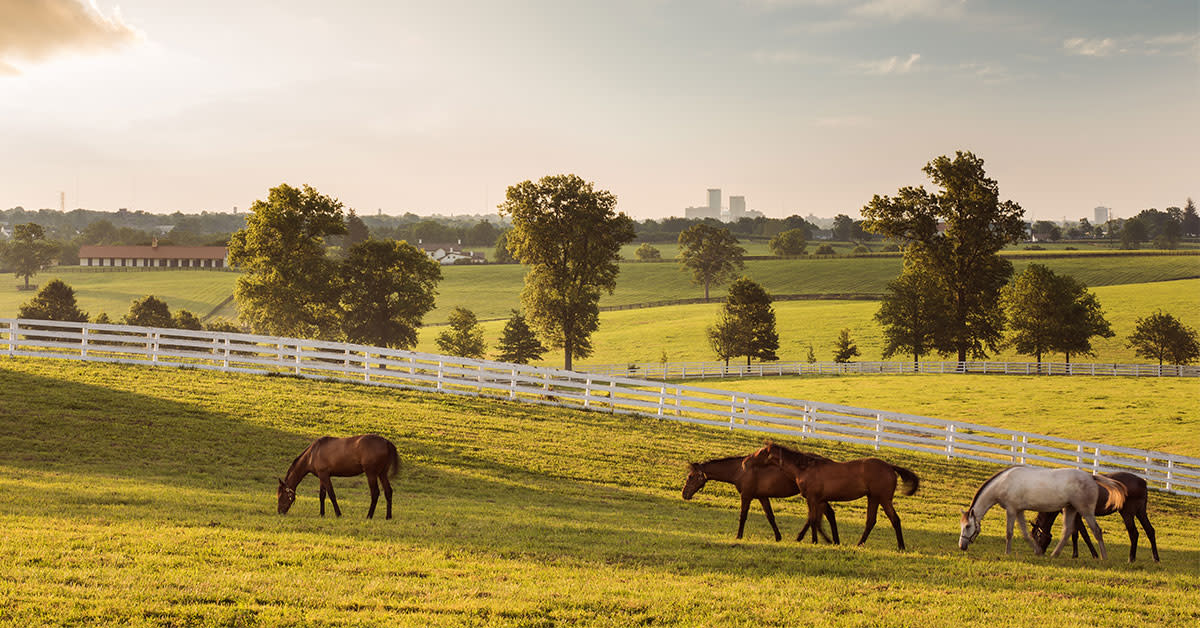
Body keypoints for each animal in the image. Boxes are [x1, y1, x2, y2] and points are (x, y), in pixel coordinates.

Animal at [682, 449, 841, 543]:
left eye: (691, 477)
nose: (684, 494)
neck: (740, 469)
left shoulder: (746, 496)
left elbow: (743, 516)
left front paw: (738, 536)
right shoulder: (762, 497)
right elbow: (770, 517)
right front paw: (778, 537)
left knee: (822, 515)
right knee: (824, 515)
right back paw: (827, 539)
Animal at [750, 442, 919, 549]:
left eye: (761, 452)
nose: (748, 460)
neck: (805, 468)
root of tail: (890, 466)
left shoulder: (812, 499)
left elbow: (813, 520)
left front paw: (813, 541)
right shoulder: (819, 500)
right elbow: (815, 520)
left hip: (883, 498)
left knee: (894, 519)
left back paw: (901, 546)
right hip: (874, 498)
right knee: (871, 521)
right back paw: (860, 544)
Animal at [958, 466, 1125, 559]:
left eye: (968, 526)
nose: (961, 546)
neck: (1004, 482)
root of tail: (1091, 476)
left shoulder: (1011, 510)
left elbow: (1009, 533)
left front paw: (1007, 553)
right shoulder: (1019, 511)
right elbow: (1025, 534)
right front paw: (1038, 551)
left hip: (1085, 511)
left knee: (1096, 531)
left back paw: (1103, 557)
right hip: (1069, 509)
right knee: (1067, 532)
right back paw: (1054, 554)